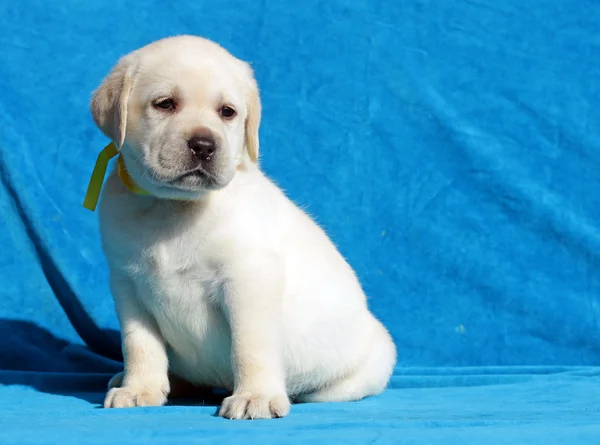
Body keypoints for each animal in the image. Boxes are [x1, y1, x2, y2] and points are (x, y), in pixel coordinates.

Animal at [91, 35, 396, 420]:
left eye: (227, 112)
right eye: (165, 104)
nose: (204, 145)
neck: (174, 207)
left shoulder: (247, 280)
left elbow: (250, 346)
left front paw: (256, 396)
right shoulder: (127, 285)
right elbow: (139, 344)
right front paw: (139, 388)